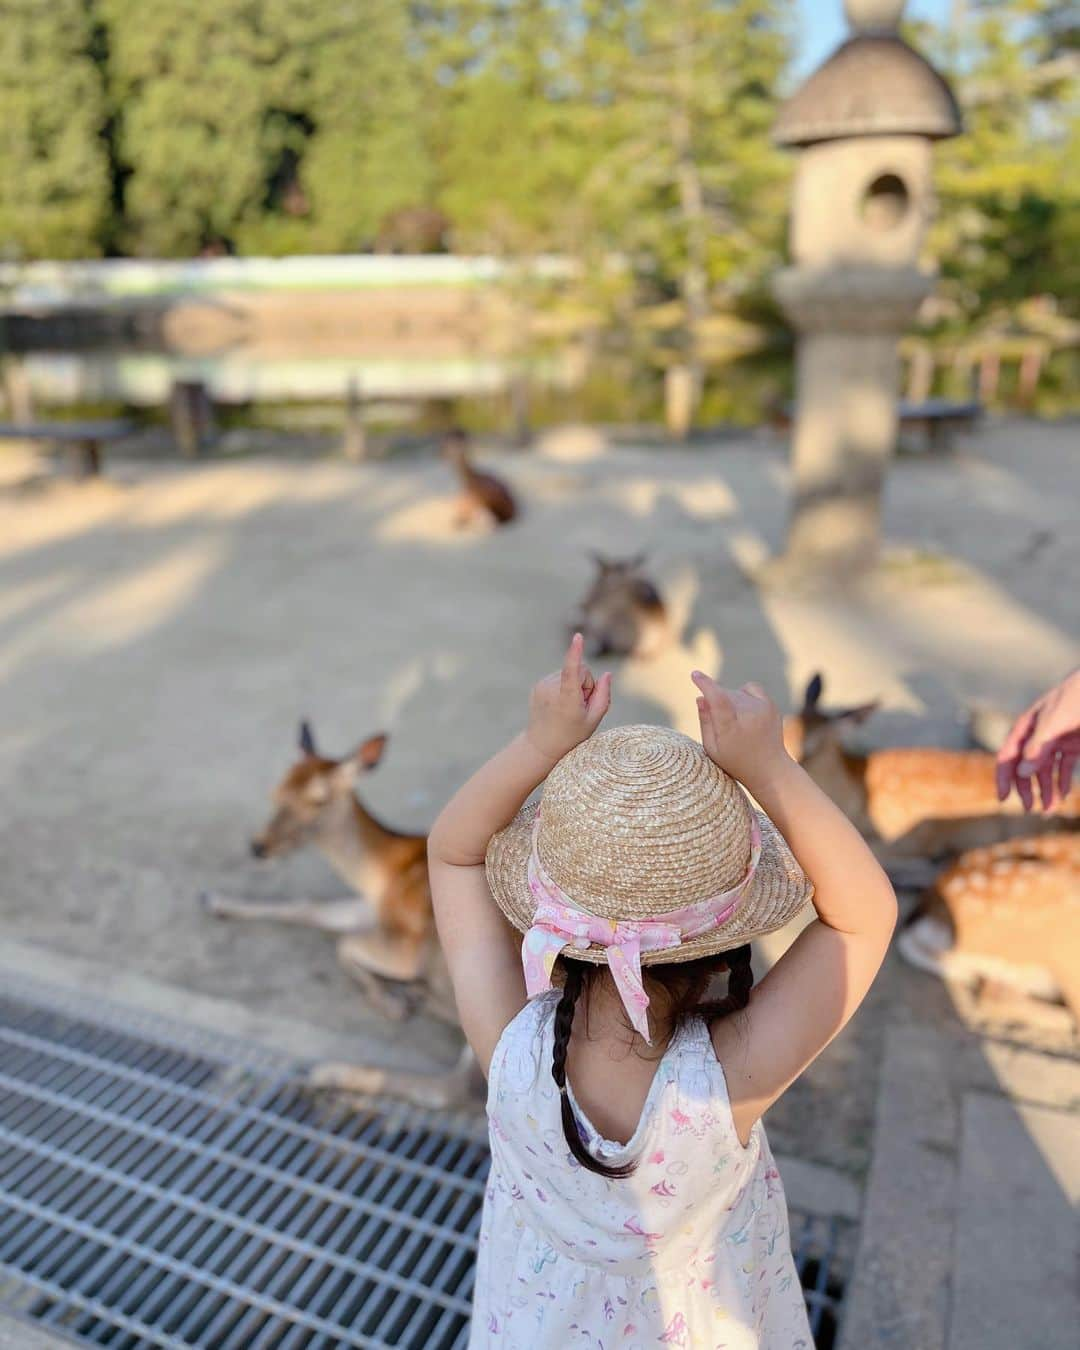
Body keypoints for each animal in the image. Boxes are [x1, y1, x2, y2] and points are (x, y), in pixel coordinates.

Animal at [199, 723, 477, 1101]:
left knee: (458, 1086)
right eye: (276, 792)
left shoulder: (409, 943)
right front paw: (214, 900)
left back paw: (327, 1072)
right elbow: (309, 908)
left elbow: (344, 943)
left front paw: (387, 1003)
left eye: (318, 800)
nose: (259, 846)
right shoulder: (367, 908)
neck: (382, 875)